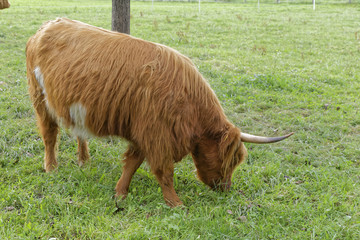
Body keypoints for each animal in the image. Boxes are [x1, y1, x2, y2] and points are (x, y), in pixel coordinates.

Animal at [27, 18, 292, 206]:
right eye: (231, 160)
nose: (225, 189)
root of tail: (46, 26)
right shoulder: (156, 134)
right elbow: (164, 172)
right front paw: (176, 204)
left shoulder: (144, 133)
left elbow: (132, 163)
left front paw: (120, 193)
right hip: (39, 98)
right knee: (49, 135)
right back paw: (51, 168)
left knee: (79, 132)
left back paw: (84, 161)